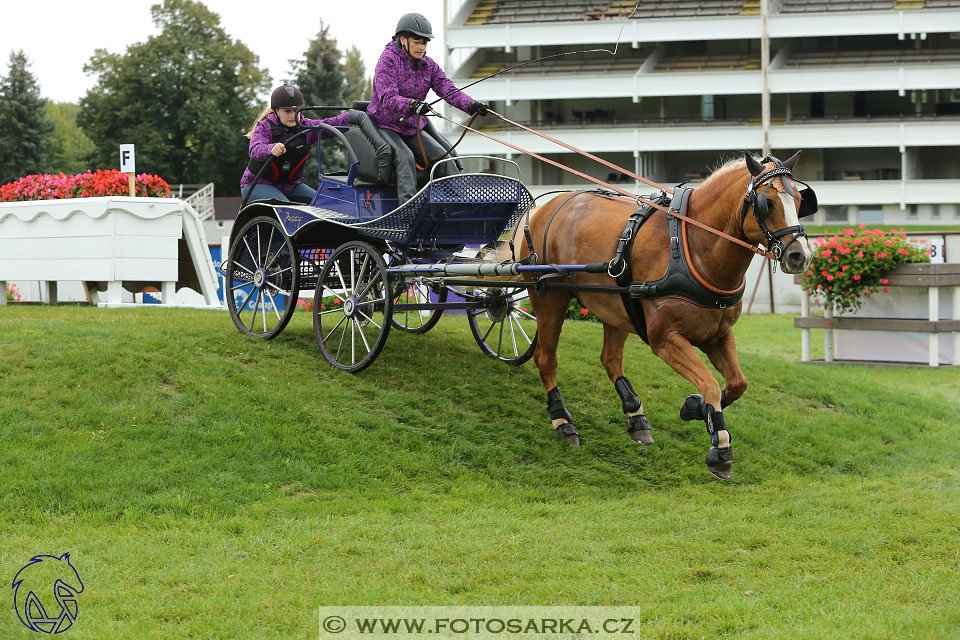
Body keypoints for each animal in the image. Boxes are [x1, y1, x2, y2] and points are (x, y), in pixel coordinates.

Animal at [512, 151, 812, 480]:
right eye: (767, 202)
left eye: (800, 200)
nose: (800, 255)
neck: (692, 245)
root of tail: (543, 208)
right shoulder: (665, 339)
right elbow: (709, 383)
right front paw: (720, 447)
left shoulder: (718, 334)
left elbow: (736, 383)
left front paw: (695, 407)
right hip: (549, 297)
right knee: (546, 358)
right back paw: (563, 421)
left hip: (615, 305)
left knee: (610, 359)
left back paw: (636, 416)